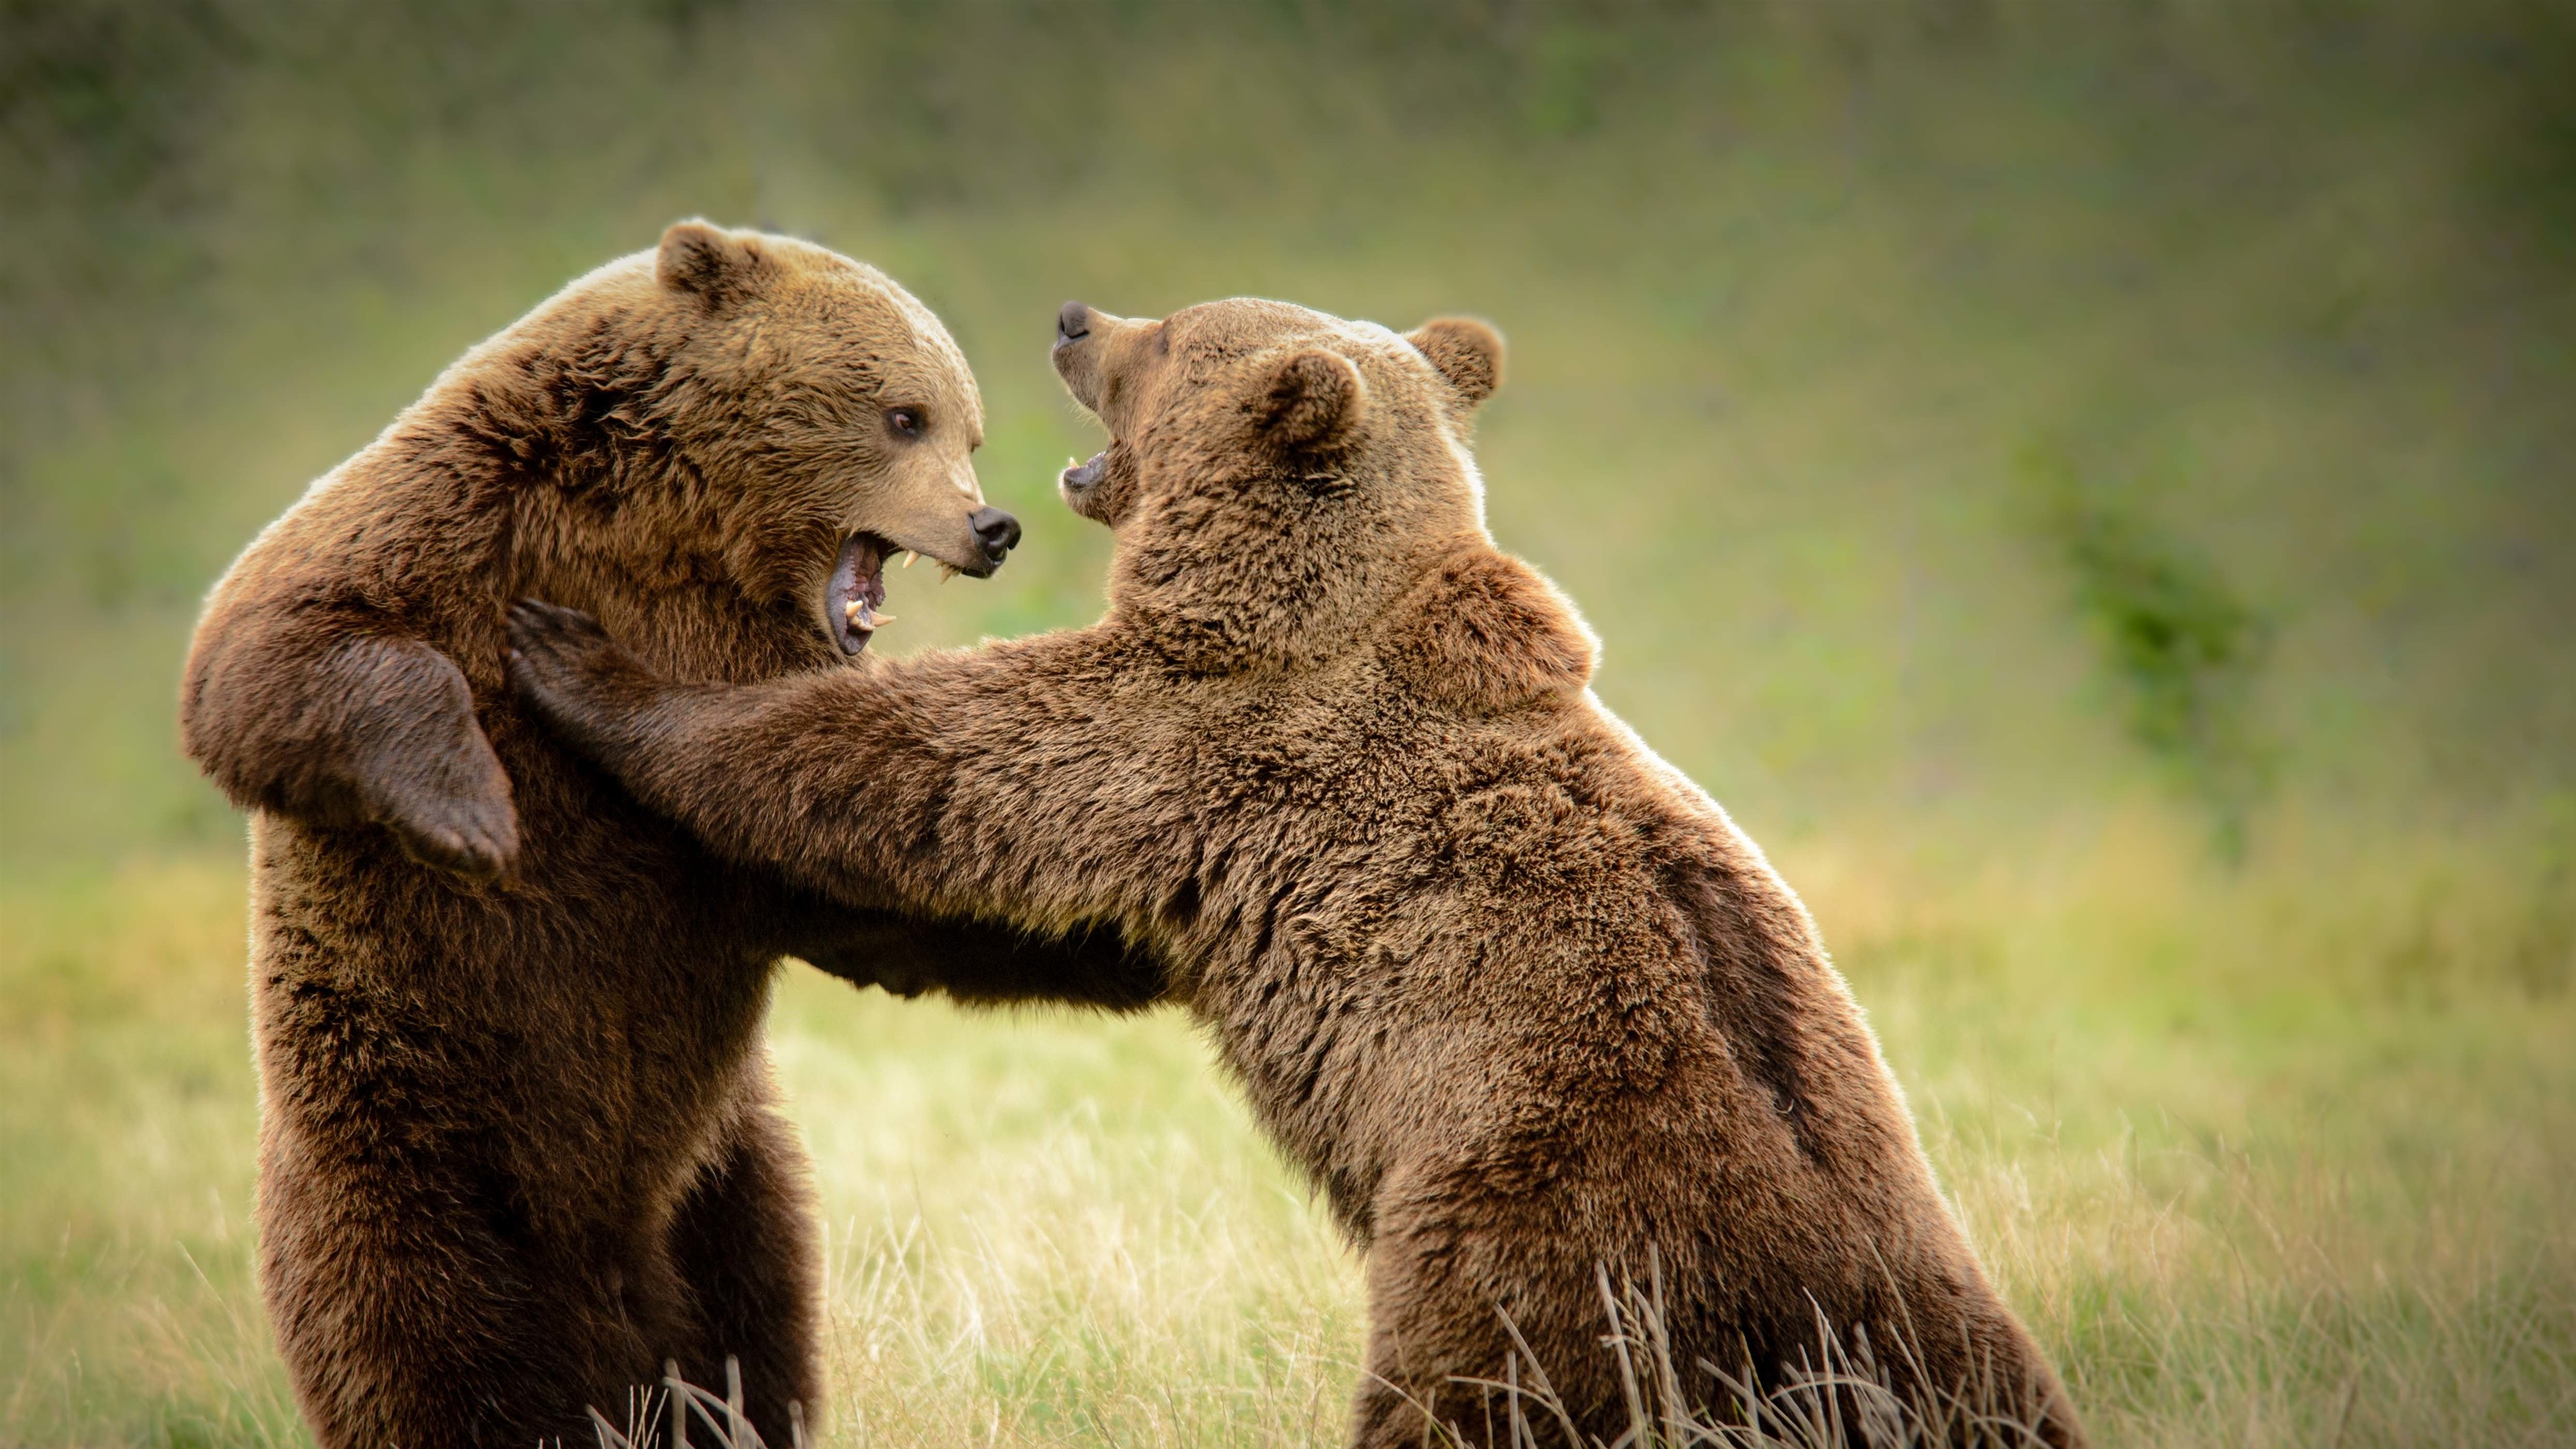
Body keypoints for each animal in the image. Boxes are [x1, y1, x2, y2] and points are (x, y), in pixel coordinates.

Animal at [181, 216, 1148, 1444]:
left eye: (962, 424)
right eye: (904, 414)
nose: (993, 524)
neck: (678, 536)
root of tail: (604, 1290)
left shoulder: (754, 675)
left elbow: (852, 845)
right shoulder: (456, 515)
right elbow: (268, 650)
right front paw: (474, 813)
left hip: (726, 1184)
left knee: (757, 1336)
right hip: (409, 1150)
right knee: (424, 1343)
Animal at [507, 296, 2092, 1444]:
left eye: (1171, 335)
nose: (1075, 314)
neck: (1291, 595)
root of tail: (1813, 1309)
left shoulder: (1205, 738)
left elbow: (940, 767)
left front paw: (585, 668)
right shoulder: (1203, 835)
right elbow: (1055, 929)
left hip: (1527, 1232)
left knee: (1464, 1397)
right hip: (1931, 1305)